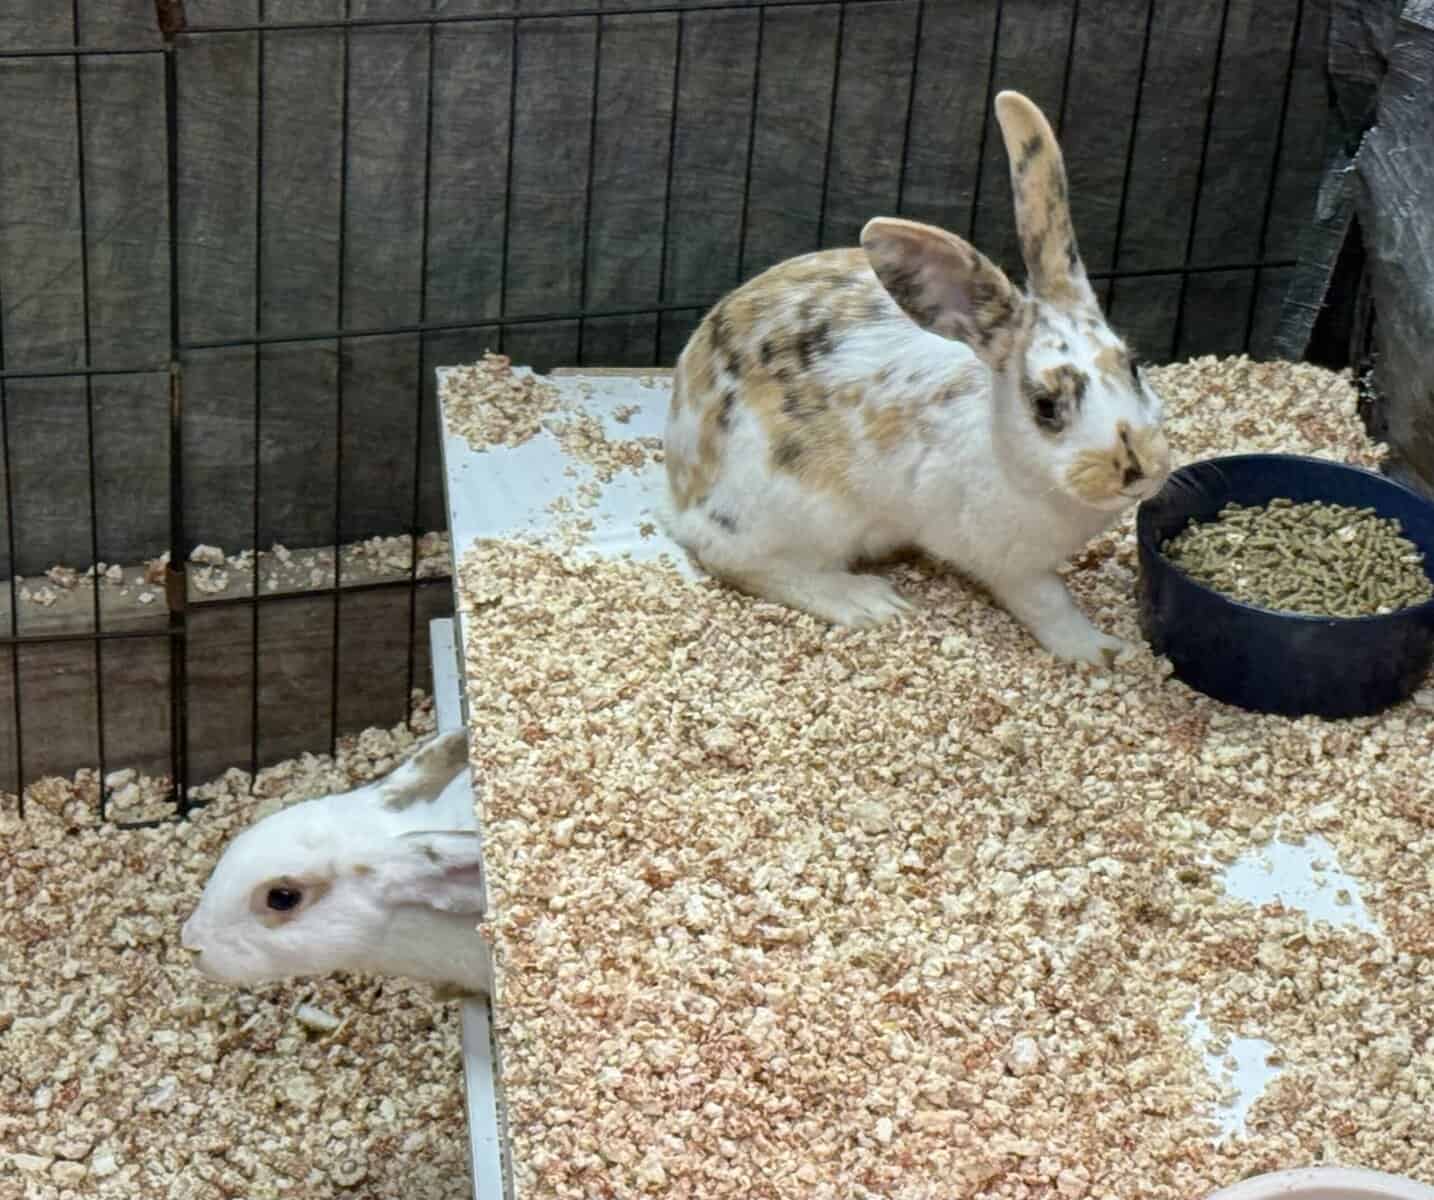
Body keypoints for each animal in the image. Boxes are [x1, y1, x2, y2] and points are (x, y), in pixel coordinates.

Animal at [662, 89, 1172, 667]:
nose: (1139, 468)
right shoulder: (1005, 559)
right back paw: (868, 602)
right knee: (737, 557)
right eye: (1046, 406)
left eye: (1132, 366)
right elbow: (1047, 602)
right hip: (796, 508)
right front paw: (1099, 650)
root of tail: (683, 484)